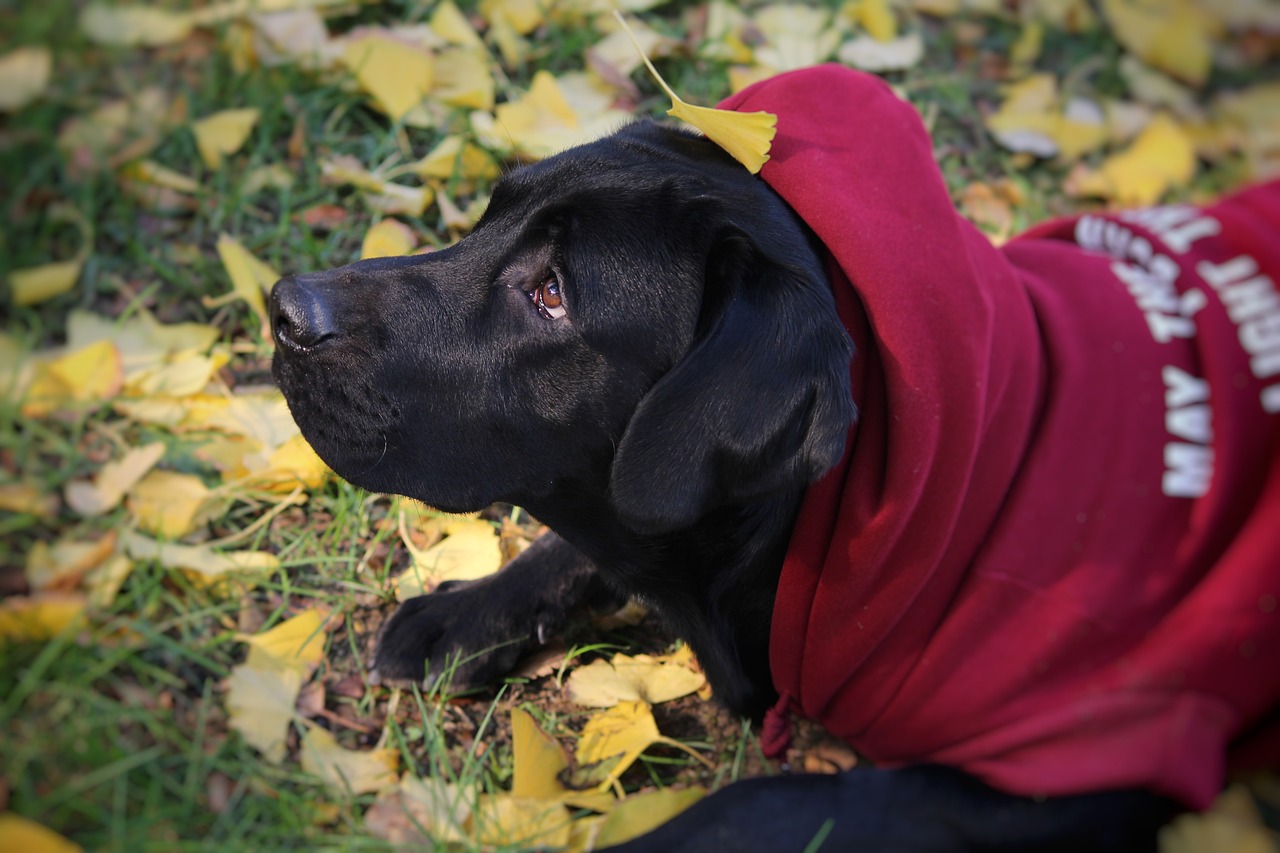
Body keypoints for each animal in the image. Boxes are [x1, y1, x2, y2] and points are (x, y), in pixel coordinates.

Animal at [270, 69, 1280, 845]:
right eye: (486, 214)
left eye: (551, 292)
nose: (284, 308)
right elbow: (579, 539)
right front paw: (463, 613)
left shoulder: (1061, 768)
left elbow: (761, 804)